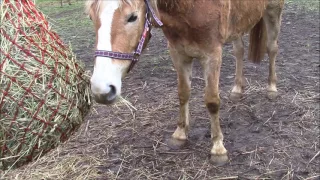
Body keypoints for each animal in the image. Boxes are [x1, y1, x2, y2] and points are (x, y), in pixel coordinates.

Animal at [85, 0, 284, 165]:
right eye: (91, 17)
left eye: (132, 17)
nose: (101, 89)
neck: (191, 8)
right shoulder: (178, 54)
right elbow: (183, 93)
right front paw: (180, 134)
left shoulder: (212, 55)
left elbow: (212, 101)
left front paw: (218, 149)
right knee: (239, 50)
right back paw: (237, 89)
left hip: (273, 10)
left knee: (272, 48)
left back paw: (272, 88)